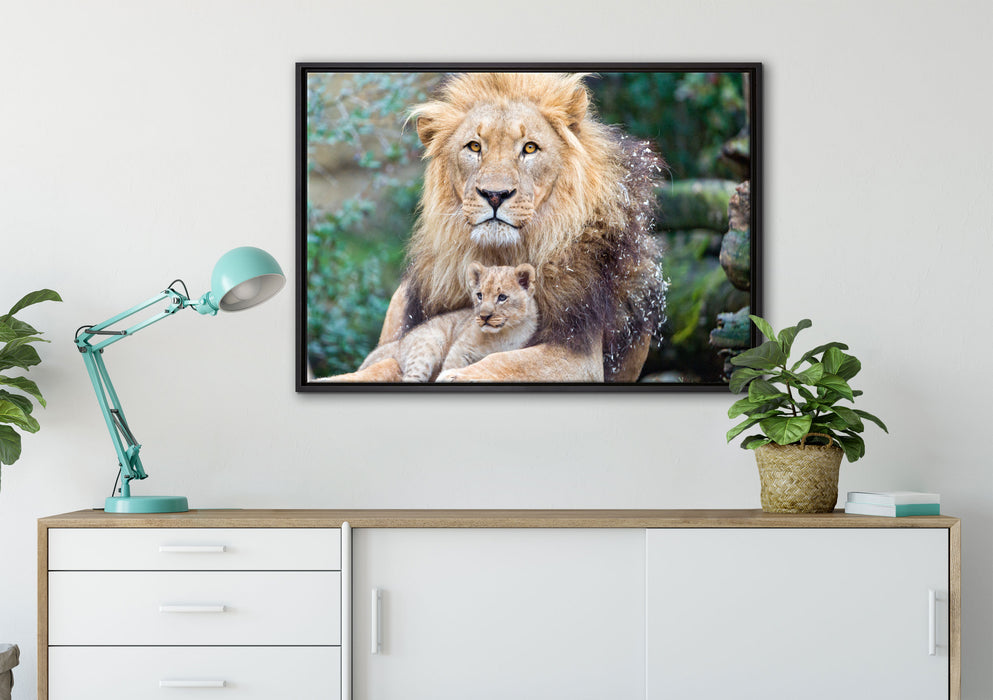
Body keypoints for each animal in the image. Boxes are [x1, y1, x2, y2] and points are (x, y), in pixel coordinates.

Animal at [321, 262, 539, 383]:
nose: (484, 316)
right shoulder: (460, 349)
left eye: (502, 297)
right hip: (428, 345)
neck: (504, 333)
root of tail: (399, 344)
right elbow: (450, 367)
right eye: (479, 295)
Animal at [355, 72, 666, 383]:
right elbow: (388, 363)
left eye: (529, 147)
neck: (499, 255)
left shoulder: (580, 354)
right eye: (474, 146)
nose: (495, 195)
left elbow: (504, 361)